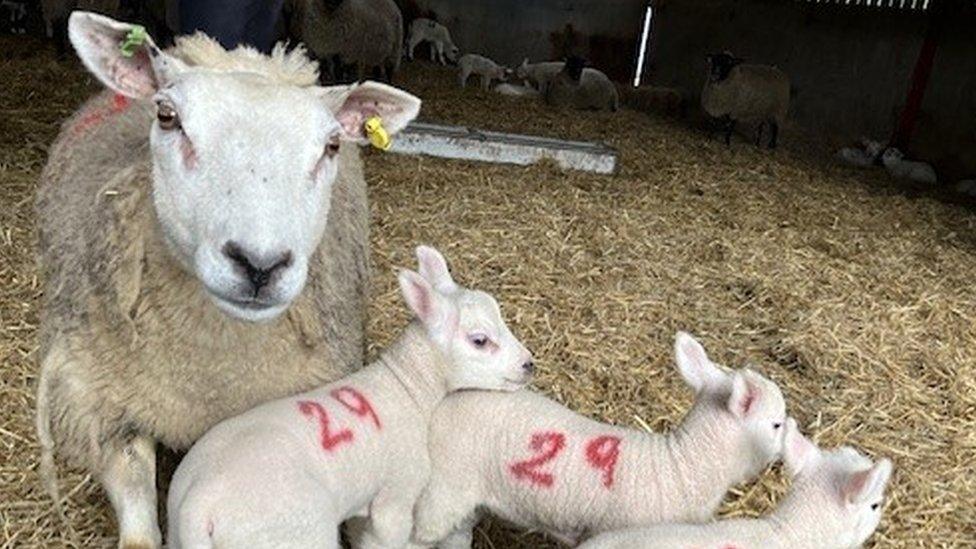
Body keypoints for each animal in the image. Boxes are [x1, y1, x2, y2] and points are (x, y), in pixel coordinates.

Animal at [35, 12, 420, 548]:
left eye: (331, 145)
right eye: (167, 116)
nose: (259, 265)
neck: (210, 377)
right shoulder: (103, 405)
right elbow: (137, 527)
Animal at [168, 246, 532, 548]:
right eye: (480, 340)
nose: (529, 364)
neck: (409, 387)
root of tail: (198, 507)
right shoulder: (395, 496)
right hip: (295, 536)